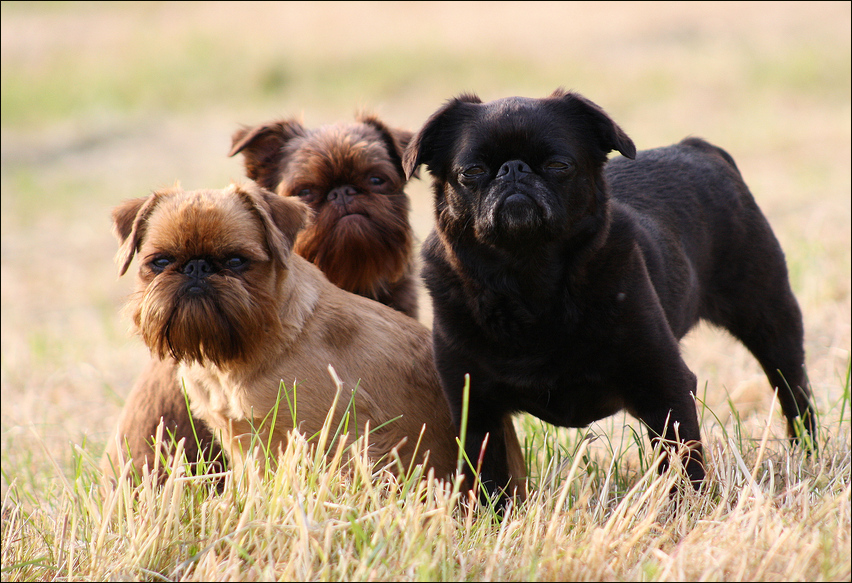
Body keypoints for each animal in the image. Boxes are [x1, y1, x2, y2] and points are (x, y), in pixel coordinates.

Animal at [406, 89, 820, 504]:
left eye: (559, 165)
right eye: (472, 171)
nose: (514, 170)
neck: (529, 279)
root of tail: (696, 148)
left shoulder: (665, 388)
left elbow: (683, 466)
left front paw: (687, 509)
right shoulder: (476, 410)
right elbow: (489, 481)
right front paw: (493, 516)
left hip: (770, 321)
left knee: (794, 393)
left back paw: (808, 456)